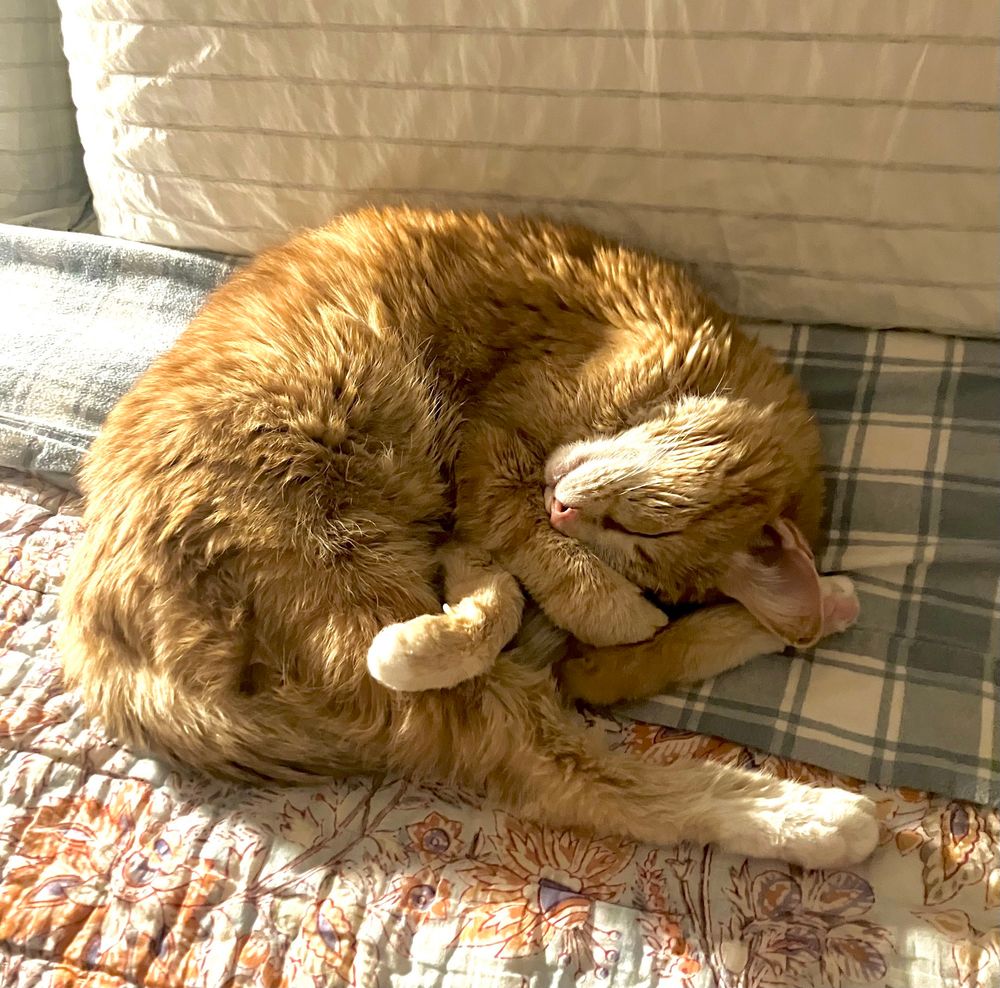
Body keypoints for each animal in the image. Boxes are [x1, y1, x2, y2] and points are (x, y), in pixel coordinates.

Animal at [60, 207, 877, 869]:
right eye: (646, 526)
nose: (565, 510)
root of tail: (100, 663)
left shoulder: (493, 523)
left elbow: (582, 622)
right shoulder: (495, 460)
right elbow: (567, 585)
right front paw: (610, 607)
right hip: (337, 568)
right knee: (571, 765)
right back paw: (820, 818)